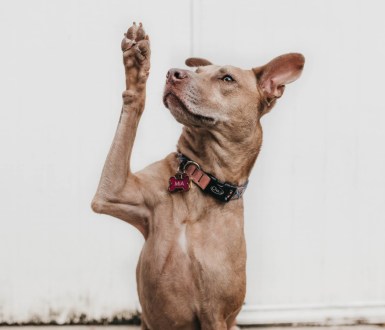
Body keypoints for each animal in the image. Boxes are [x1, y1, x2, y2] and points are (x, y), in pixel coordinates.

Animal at [91, 21, 304, 328]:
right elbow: (132, 107)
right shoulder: (112, 193)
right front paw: (137, 65)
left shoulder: (215, 314)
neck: (201, 178)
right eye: (198, 71)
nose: (173, 73)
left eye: (226, 78)